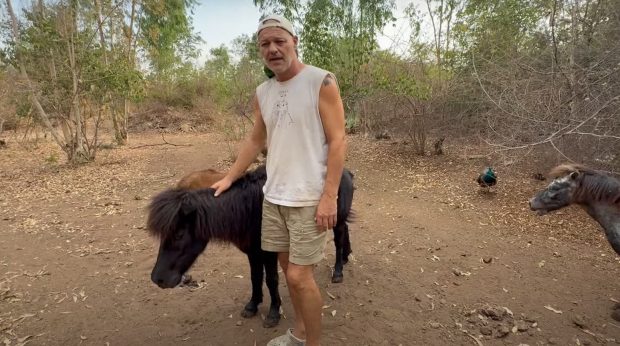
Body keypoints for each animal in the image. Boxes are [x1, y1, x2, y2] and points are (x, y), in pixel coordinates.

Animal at [146, 165, 356, 328]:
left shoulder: (268, 252)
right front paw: (252, 305)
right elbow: (255, 278)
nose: (158, 279)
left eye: (179, 234)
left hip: (336, 221)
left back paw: (338, 271)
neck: (250, 208)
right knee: (346, 232)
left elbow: (271, 279)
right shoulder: (252, 252)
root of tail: (346, 172)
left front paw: (273, 312)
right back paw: (346, 257)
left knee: (339, 240)